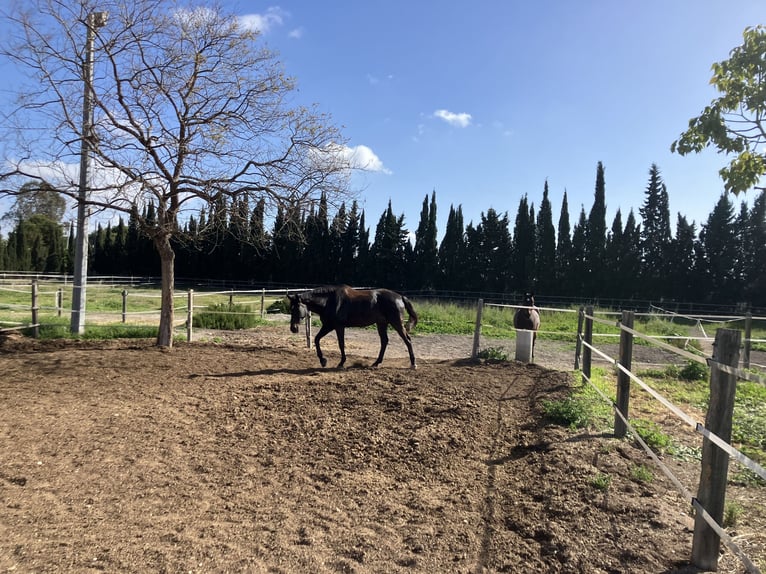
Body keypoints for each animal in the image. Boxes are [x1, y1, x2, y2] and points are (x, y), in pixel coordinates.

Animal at [288, 285, 418, 369]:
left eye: (296, 309)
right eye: (291, 309)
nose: (293, 328)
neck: (328, 301)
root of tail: (400, 297)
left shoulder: (338, 326)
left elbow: (341, 344)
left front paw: (341, 363)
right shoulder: (328, 325)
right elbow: (316, 339)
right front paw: (323, 361)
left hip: (396, 323)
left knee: (407, 340)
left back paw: (413, 364)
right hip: (382, 323)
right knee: (384, 341)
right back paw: (376, 363)